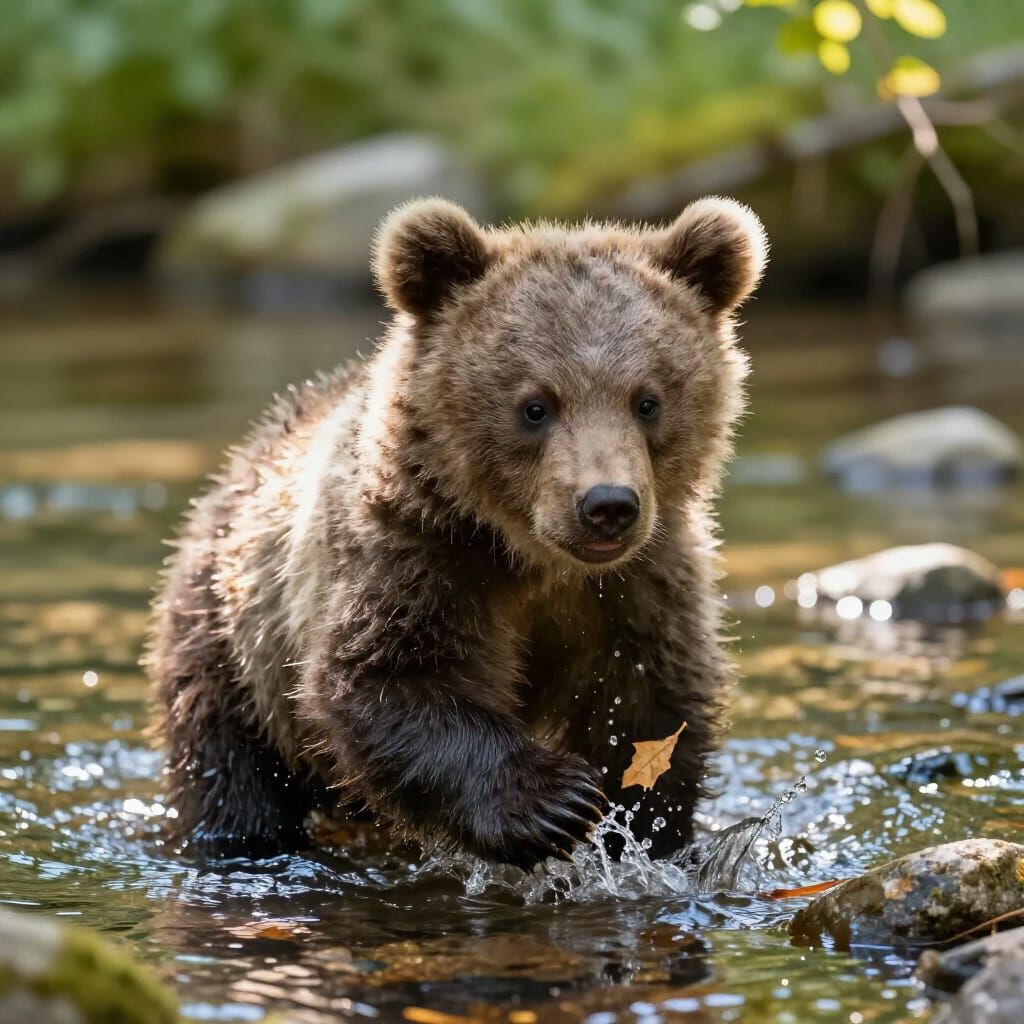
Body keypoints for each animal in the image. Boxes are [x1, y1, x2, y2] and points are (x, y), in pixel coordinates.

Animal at [146, 195, 767, 869]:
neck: (535, 558)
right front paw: (555, 801)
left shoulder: (643, 583)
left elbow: (652, 710)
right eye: (535, 406)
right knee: (228, 767)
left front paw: (636, 823)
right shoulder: (419, 552)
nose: (607, 505)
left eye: (647, 401)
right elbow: (386, 677)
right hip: (230, 639)